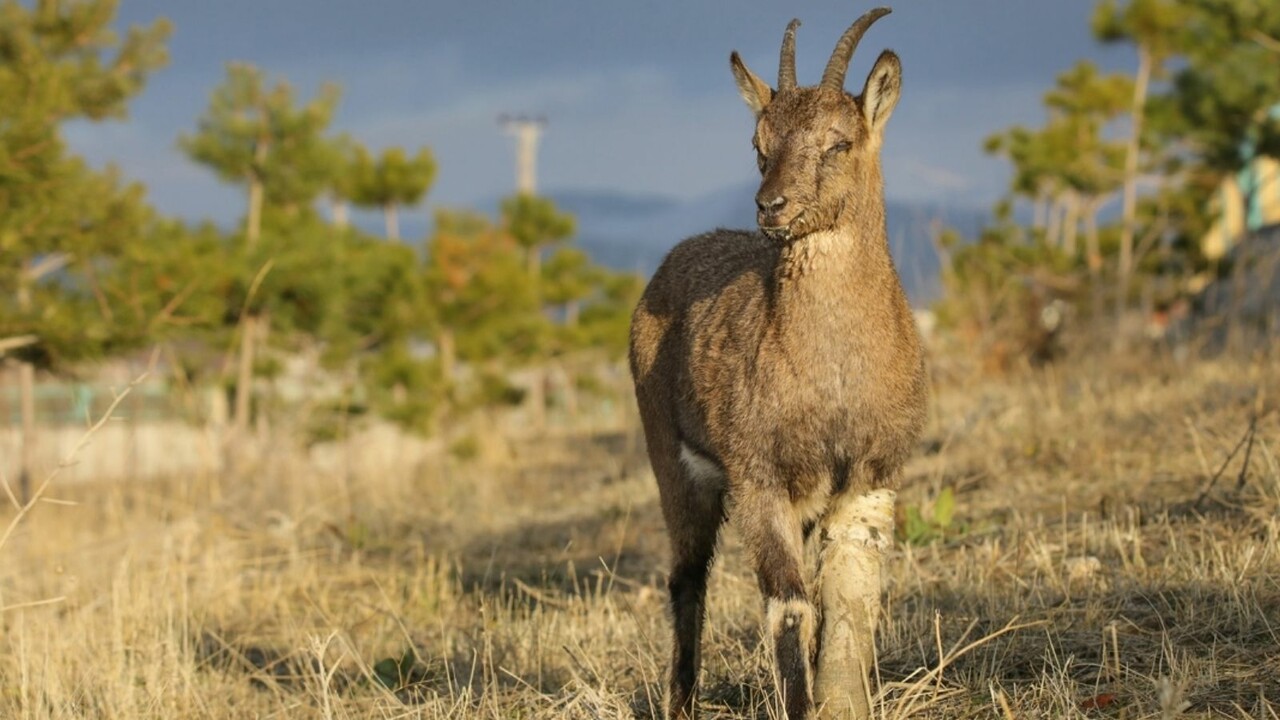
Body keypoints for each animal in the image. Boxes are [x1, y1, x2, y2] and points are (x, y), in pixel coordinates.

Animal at [627, 7, 921, 717]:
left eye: (839, 142)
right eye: (758, 144)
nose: (771, 206)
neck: (833, 373)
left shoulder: (869, 476)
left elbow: (846, 599)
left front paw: (840, 700)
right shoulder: (759, 478)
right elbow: (788, 606)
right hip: (673, 462)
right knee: (687, 577)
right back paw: (680, 702)